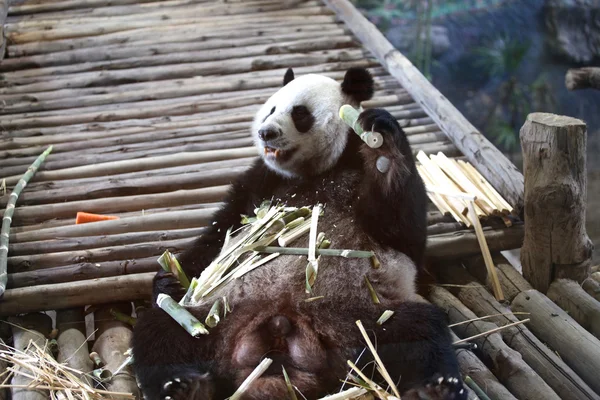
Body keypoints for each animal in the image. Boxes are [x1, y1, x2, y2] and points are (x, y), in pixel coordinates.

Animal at [131, 67, 466, 398]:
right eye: (271, 108)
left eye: (300, 113)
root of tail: (281, 325)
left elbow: (400, 229)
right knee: (160, 333)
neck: (318, 171)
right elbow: (221, 231)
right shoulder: (261, 181)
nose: (266, 132)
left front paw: (382, 146)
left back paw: (437, 387)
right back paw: (182, 385)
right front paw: (169, 278)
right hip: (211, 317)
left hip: (366, 320)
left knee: (421, 332)